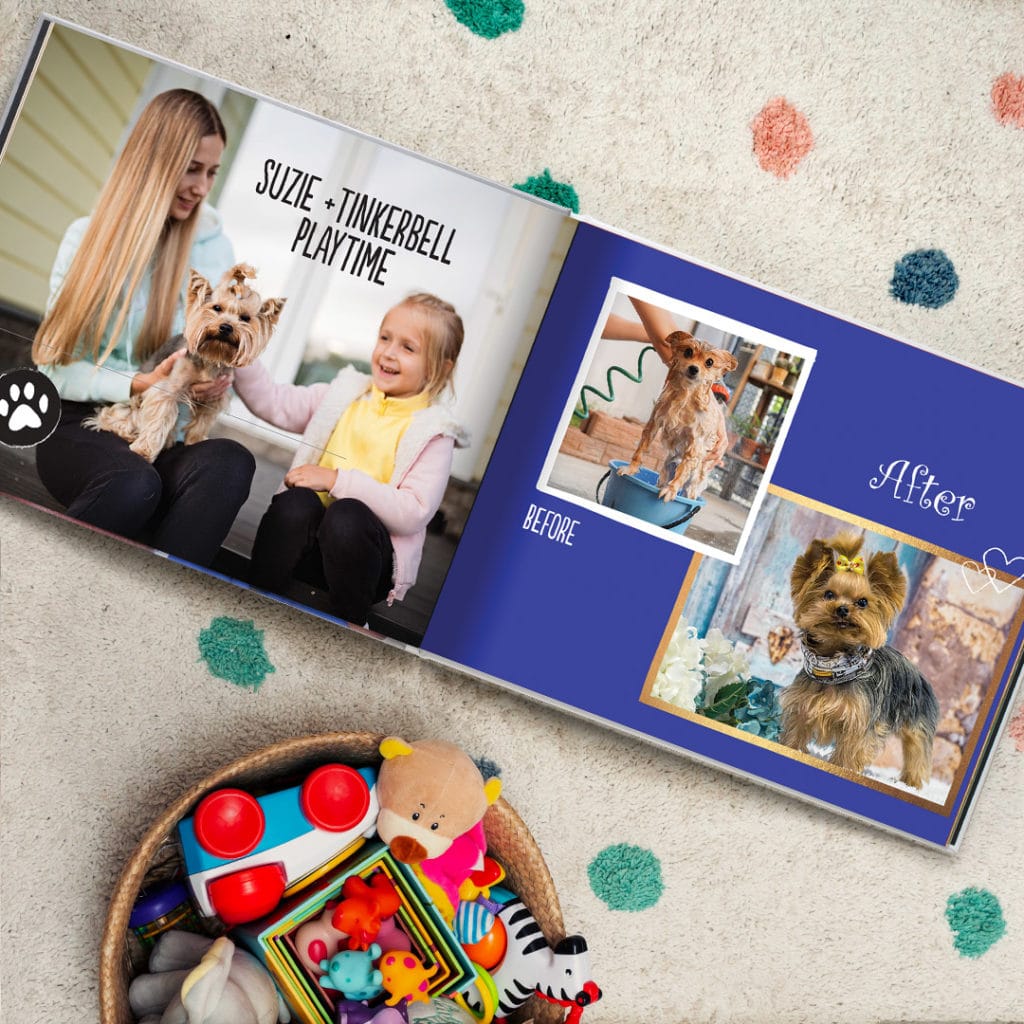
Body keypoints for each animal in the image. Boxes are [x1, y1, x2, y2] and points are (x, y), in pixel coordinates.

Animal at [86, 262, 286, 462]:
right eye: (217, 308)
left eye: (245, 318)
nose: (226, 327)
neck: (212, 355)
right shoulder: (167, 388)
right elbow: (159, 418)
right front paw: (144, 450)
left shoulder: (214, 398)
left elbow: (203, 420)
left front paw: (195, 440)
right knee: (113, 417)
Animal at [614, 329, 737, 501]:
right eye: (688, 352)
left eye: (709, 362)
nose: (693, 369)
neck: (685, 396)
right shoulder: (654, 423)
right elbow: (640, 450)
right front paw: (630, 469)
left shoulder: (695, 443)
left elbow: (683, 470)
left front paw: (671, 490)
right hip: (666, 470)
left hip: (693, 484)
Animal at [778, 532, 937, 786]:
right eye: (828, 594)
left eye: (862, 602)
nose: (842, 609)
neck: (832, 667)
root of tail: (917, 670)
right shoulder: (802, 708)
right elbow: (795, 735)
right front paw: (790, 750)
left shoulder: (859, 722)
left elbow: (849, 753)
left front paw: (842, 768)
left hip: (917, 720)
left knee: (917, 750)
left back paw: (911, 783)